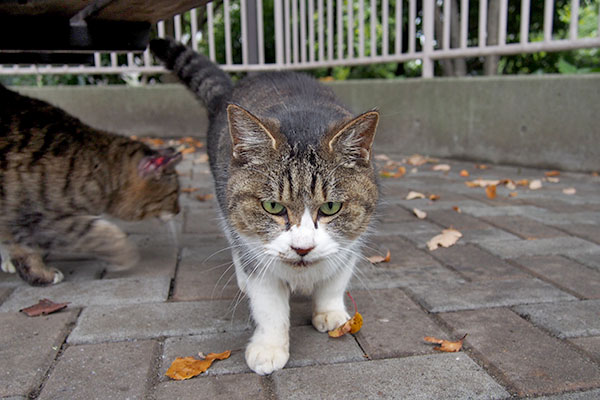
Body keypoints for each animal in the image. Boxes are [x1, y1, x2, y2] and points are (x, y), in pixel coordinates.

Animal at [151, 38, 380, 376]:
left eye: (330, 207)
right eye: (273, 206)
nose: (302, 248)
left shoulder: (352, 240)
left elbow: (336, 278)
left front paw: (330, 311)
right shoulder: (256, 252)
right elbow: (269, 304)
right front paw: (270, 347)